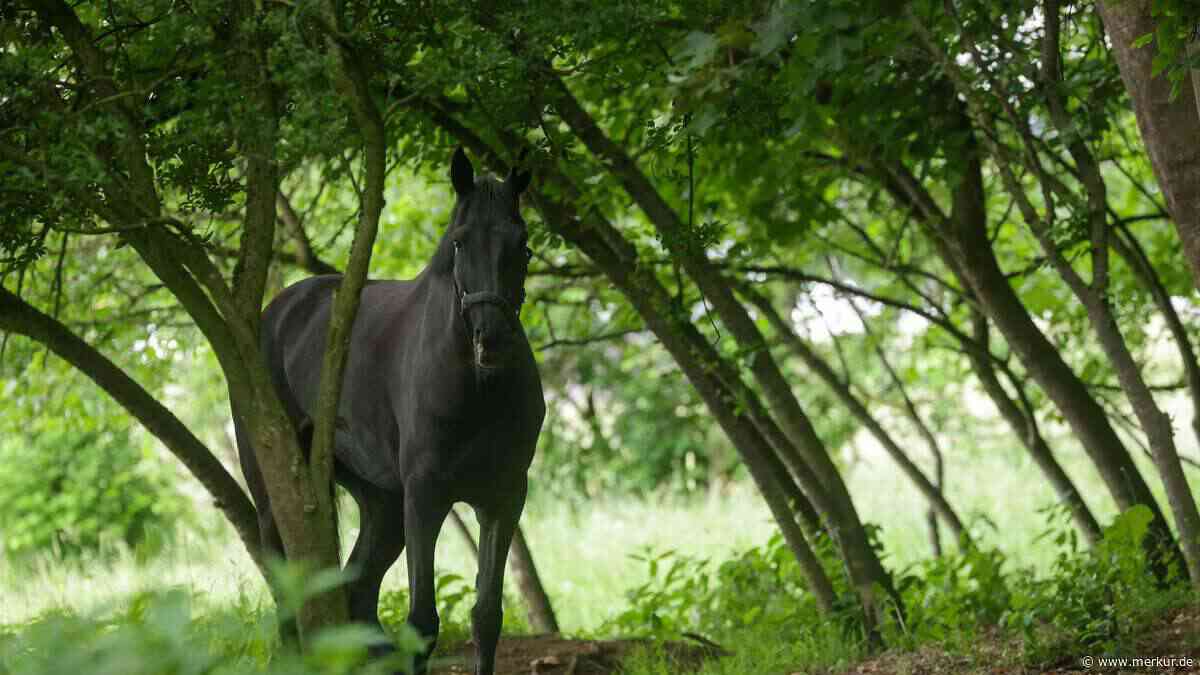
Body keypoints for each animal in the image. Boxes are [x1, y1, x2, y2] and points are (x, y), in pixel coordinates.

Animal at [234, 148, 544, 675]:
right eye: (459, 243)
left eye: (521, 245)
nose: (493, 340)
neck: (476, 389)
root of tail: (281, 308)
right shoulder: (425, 495)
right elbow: (422, 623)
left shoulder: (503, 497)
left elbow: (487, 615)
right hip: (275, 498)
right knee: (289, 600)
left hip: (381, 505)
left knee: (357, 596)